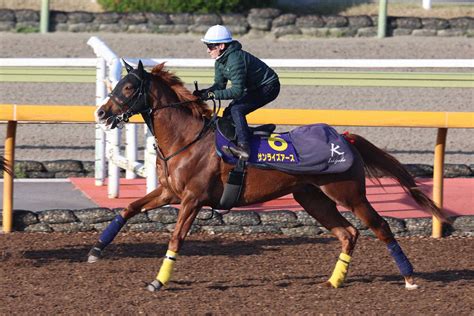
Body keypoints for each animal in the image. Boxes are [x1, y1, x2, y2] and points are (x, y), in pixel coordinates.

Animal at [90, 60, 448, 292]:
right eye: (117, 84)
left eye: (129, 86)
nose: (102, 113)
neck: (186, 138)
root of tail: (344, 139)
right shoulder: (170, 193)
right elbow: (128, 209)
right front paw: (96, 250)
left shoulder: (192, 199)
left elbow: (176, 237)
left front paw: (158, 280)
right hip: (312, 197)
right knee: (347, 233)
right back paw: (334, 280)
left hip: (348, 193)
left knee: (380, 226)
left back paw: (409, 278)